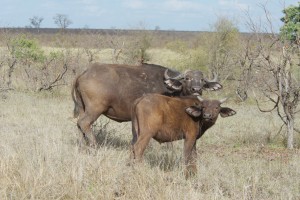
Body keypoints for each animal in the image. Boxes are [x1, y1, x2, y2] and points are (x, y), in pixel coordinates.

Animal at [72, 62, 223, 147]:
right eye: (187, 78)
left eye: (202, 80)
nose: (196, 89)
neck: (172, 89)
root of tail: (84, 73)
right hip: (95, 109)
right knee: (84, 123)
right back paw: (94, 145)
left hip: (83, 108)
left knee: (79, 124)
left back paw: (82, 146)